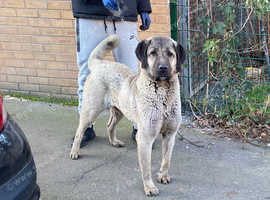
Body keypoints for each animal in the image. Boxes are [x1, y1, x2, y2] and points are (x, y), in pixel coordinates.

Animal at [70, 34, 186, 195]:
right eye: (152, 53)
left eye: (170, 54)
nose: (163, 68)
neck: (162, 93)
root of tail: (100, 64)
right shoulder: (144, 138)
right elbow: (146, 167)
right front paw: (149, 187)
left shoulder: (170, 134)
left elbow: (166, 160)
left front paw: (163, 176)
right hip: (91, 110)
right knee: (79, 131)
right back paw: (75, 151)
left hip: (119, 110)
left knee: (110, 125)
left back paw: (114, 142)